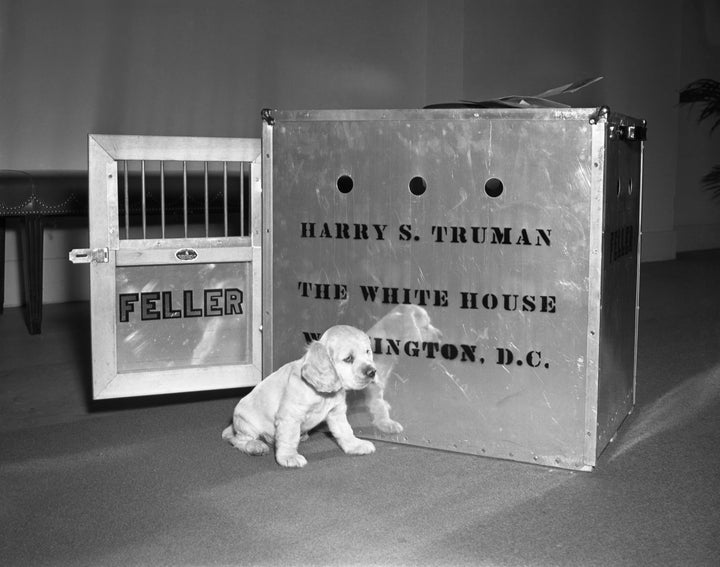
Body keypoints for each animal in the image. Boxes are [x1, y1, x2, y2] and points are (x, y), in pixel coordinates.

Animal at [221, 326, 376, 468]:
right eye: (348, 358)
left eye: (367, 352)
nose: (372, 372)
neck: (323, 395)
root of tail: (233, 425)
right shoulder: (290, 416)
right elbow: (289, 438)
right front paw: (289, 457)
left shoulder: (336, 413)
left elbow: (345, 431)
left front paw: (355, 445)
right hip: (247, 424)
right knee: (237, 440)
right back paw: (255, 446)